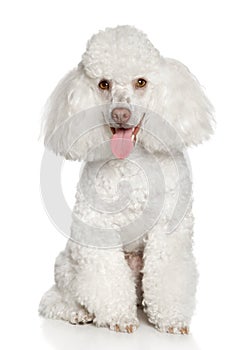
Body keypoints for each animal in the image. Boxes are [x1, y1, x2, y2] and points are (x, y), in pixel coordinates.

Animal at [38, 25, 215, 334]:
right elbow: (106, 276)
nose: (120, 113)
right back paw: (76, 312)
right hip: (67, 264)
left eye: (141, 82)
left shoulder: (169, 229)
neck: (132, 163)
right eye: (103, 84)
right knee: (55, 298)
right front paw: (118, 317)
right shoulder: (97, 229)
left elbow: (167, 272)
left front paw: (170, 319)